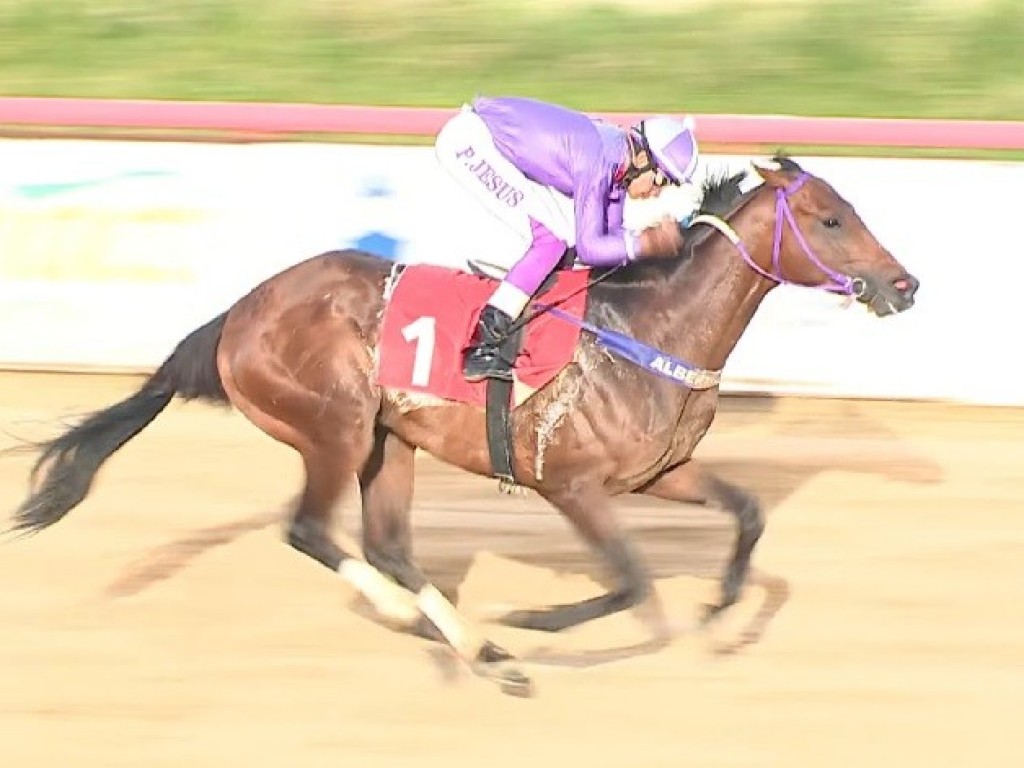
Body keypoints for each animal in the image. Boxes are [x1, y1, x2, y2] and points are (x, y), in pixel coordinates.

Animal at [8, 156, 921, 696]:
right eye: (832, 219)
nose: (906, 284)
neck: (652, 326)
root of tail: (236, 314)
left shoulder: (658, 472)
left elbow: (748, 514)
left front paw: (718, 610)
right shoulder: (572, 485)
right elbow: (631, 580)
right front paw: (533, 622)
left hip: (390, 443)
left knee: (387, 545)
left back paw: (473, 649)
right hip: (333, 428)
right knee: (310, 530)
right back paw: (435, 626)